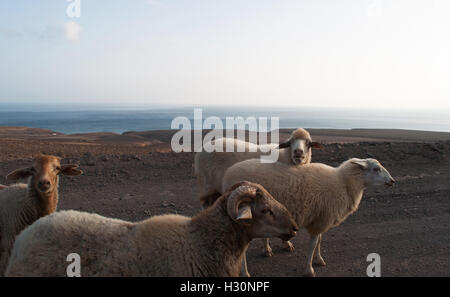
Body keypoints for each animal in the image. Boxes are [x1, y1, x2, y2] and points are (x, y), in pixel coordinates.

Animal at [223, 157, 396, 276]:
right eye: (376, 169)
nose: (392, 181)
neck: (343, 184)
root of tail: (228, 175)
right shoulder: (321, 220)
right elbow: (313, 244)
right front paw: (309, 269)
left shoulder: (321, 218)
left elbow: (319, 241)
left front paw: (318, 260)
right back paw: (245, 273)